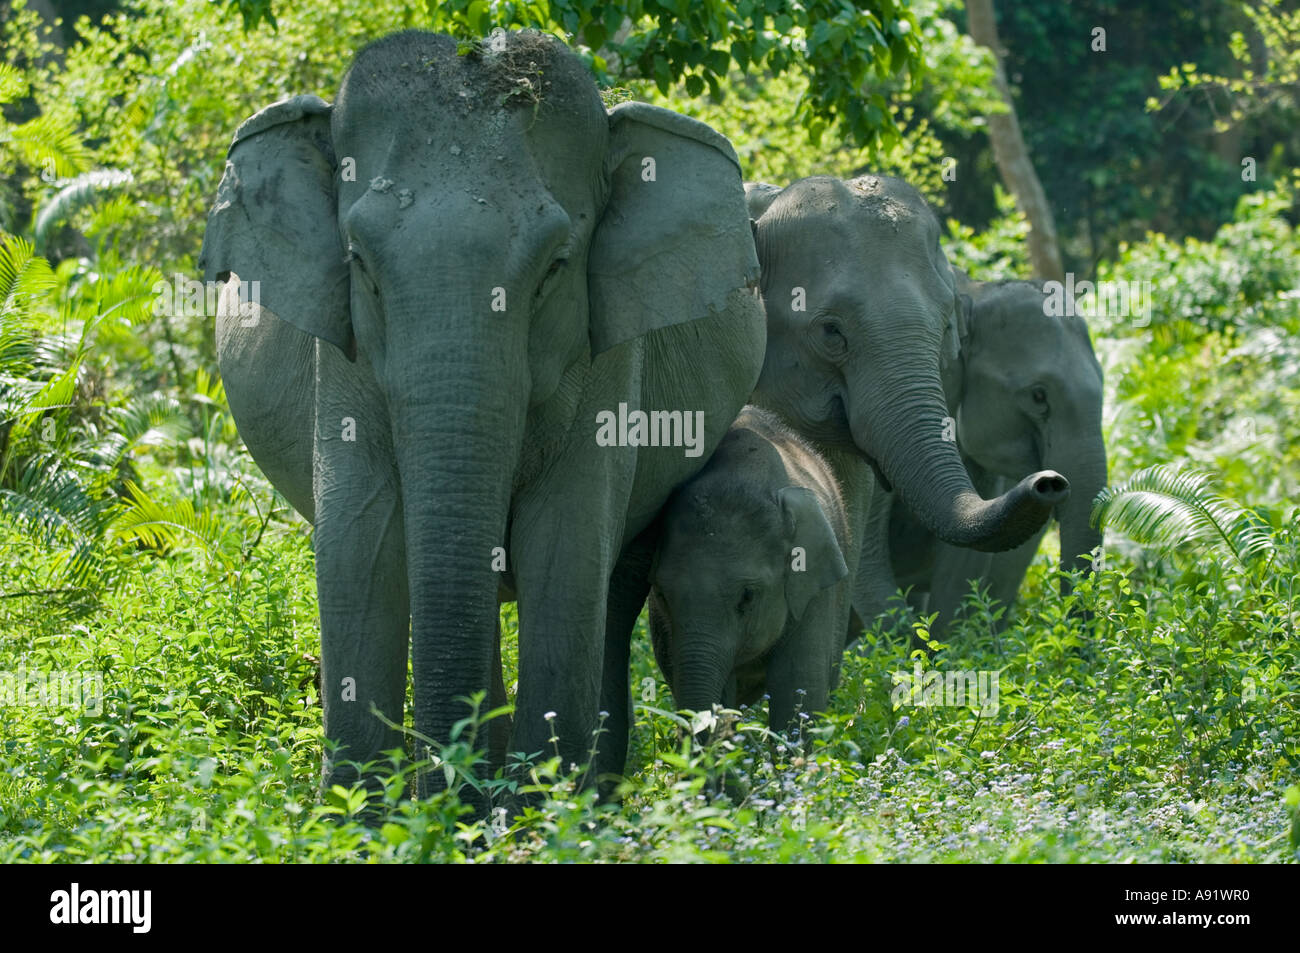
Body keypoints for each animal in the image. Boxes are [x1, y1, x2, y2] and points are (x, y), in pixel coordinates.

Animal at [201, 29, 764, 800]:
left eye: (556, 266)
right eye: (359, 262)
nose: (448, 799)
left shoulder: (609, 356)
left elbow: (565, 549)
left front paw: (540, 813)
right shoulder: (343, 357)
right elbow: (360, 543)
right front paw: (364, 816)